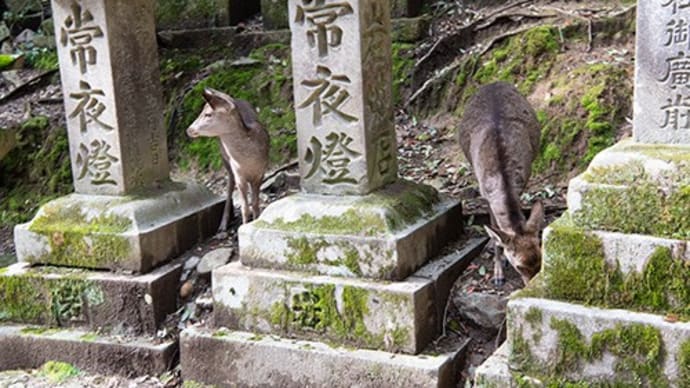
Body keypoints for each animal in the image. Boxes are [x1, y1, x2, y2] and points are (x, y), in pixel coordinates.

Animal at [187, 87, 270, 227]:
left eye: (208, 114)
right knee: (229, 186)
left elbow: (255, 203)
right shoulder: (238, 173)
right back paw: (223, 224)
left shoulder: (261, 172)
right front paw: (244, 225)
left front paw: (256, 220)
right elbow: (244, 207)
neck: (249, 161)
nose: (189, 129)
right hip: (225, 159)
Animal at [454, 81, 544, 284]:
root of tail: (493, 83)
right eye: (519, 266)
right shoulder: (485, 193)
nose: (530, 286)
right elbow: (495, 233)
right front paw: (498, 274)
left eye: (541, 260)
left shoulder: (524, 181)